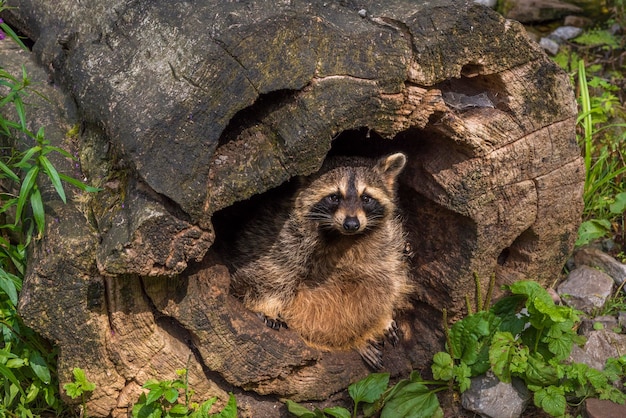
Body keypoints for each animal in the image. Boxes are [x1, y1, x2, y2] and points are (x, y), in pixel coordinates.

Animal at [228, 152, 410, 368]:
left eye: (366, 198)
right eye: (334, 197)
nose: (351, 224)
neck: (344, 237)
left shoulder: (386, 245)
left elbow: (387, 283)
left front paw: (382, 318)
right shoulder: (286, 238)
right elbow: (271, 272)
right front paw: (265, 306)